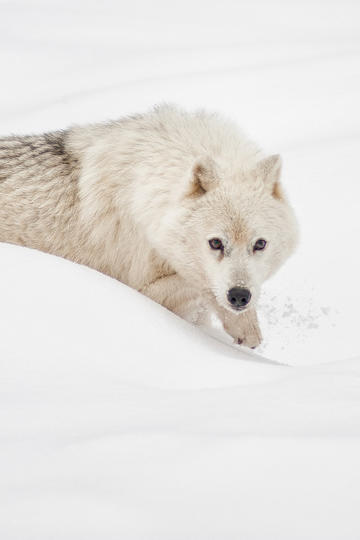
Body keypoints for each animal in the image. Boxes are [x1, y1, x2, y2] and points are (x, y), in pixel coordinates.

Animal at [0, 105, 298, 348]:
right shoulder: (144, 287)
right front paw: (246, 329)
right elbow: (196, 283)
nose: (239, 296)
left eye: (260, 244)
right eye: (216, 243)